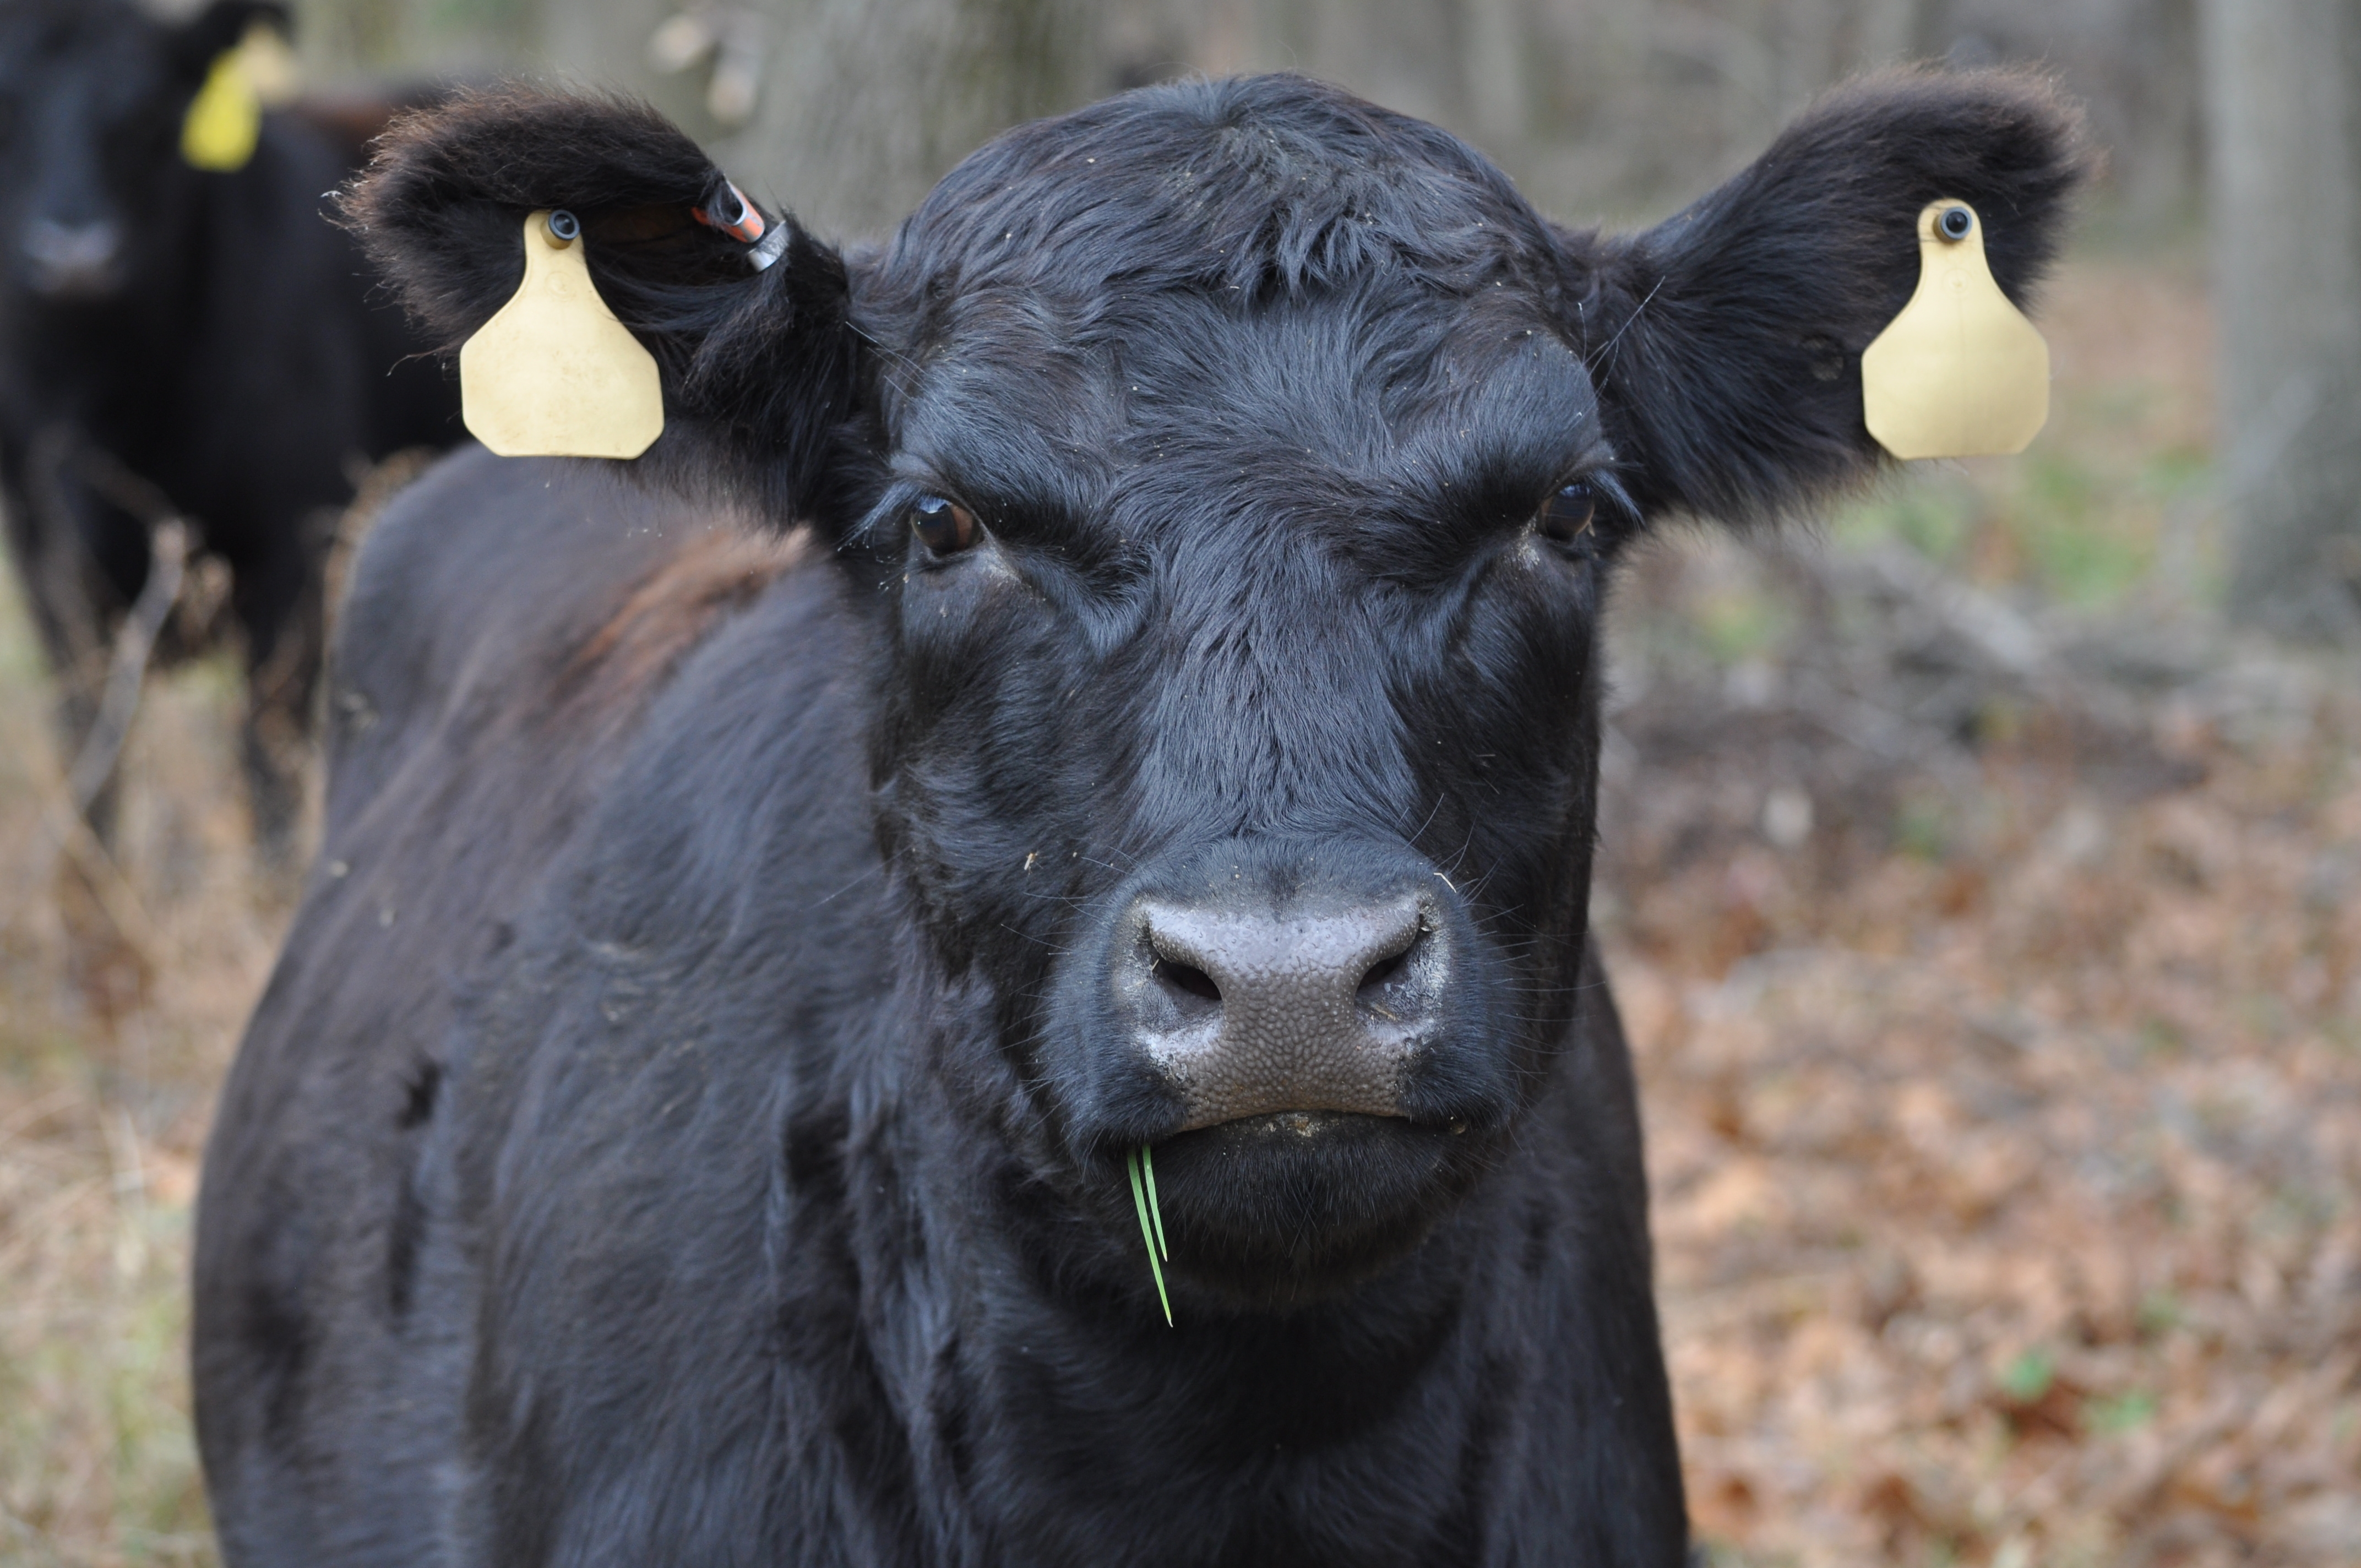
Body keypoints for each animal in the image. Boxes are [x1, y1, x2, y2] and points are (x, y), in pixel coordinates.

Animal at [0, 0, 458, 859]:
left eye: (151, 117)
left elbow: (266, 774)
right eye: (6, 107)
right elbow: (94, 767)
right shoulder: (55, 579)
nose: (75, 257)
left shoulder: (291, 563)